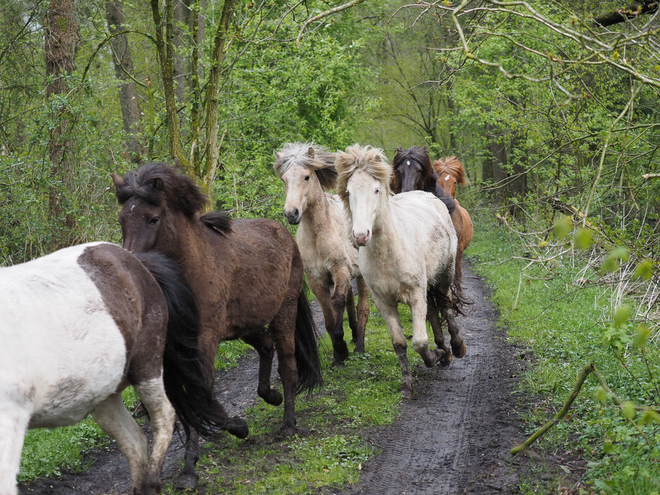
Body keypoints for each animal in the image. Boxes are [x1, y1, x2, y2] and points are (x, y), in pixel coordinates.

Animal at [112, 164, 324, 492]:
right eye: (123, 219)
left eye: (153, 218)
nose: (131, 267)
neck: (192, 270)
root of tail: (283, 234)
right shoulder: (177, 350)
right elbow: (188, 399)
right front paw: (232, 429)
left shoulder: (204, 342)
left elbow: (200, 394)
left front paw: (190, 467)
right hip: (245, 325)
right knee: (266, 346)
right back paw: (269, 396)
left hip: (284, 315)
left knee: (288, 366)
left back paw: (288, 423)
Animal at [270, 141, 368, 366]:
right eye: (284, 179)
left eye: (306, 176)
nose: (291, 213)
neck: (318, 234)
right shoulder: (316, 280)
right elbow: (328, 317)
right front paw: (338, 354)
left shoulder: (340, 270)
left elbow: (337, 301)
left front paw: (342, 348)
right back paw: (354, 336)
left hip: (363, 276)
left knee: (362, 307)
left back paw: (359, 346)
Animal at [338, 144, 466, 400]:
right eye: (349, 192)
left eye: (376, 190)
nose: (360, 236)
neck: (389, 253)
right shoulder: (384, 302)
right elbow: (399, 343)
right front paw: (407, 384)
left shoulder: (415, 294)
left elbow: (420, 342)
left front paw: (433, 357)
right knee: (434, 308)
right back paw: (444, 350)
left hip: (444, 276)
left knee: (446, 305)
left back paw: (455, 348)